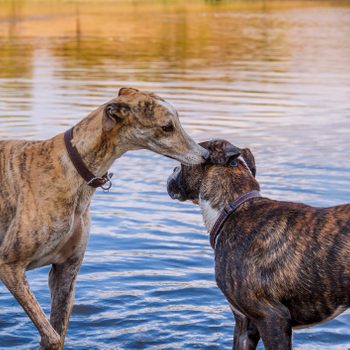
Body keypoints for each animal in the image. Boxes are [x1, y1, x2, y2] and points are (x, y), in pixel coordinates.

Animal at [0, 88, 208, 350]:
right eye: (167, 127)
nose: (206, 155)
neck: (72, 167)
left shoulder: (66, 271)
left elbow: (57, 333)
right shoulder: (10, 265)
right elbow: (53, 337)